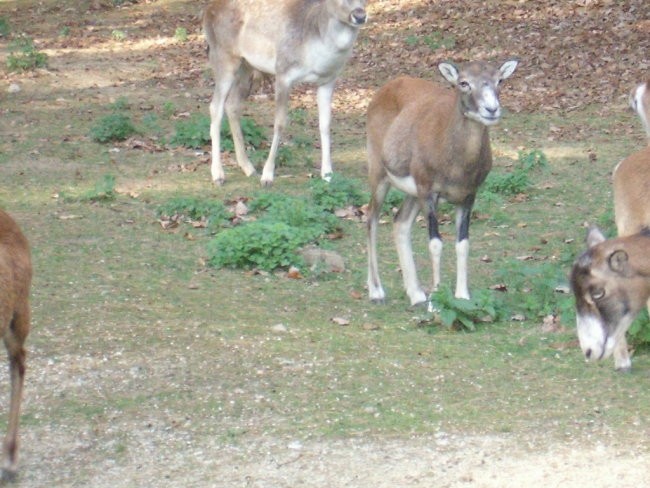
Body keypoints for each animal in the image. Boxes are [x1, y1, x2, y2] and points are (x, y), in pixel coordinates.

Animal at [202, 0, 364, 187]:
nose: (360, 15)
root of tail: (207, 10)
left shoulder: (328, 80)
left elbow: (325, 124)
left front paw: (327, 174)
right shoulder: (283, 72)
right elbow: (279, 123)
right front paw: (267, 176)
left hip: (247, 66)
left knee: (232, 104)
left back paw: (248, 167)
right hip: (223, 57)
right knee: (215, 106)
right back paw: (218, 174)